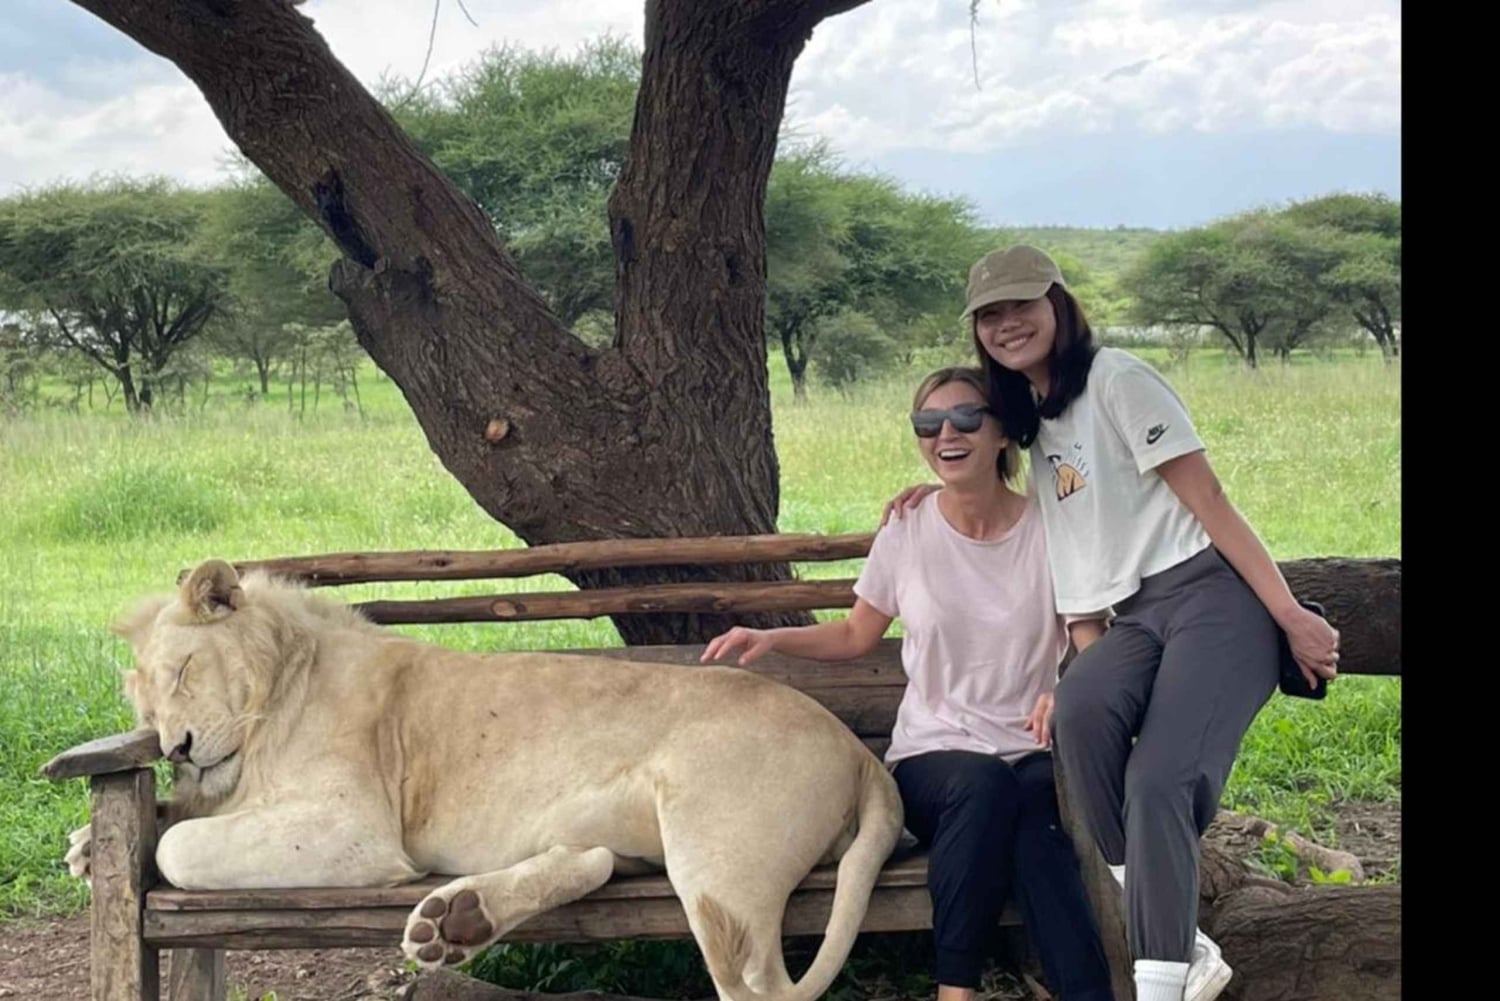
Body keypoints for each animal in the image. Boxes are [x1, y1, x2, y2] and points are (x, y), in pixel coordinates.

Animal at [65, 559, 903, 1001]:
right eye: (145, 701)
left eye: (184, 668)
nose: (175, 746)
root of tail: (861, 754)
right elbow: (174, 819)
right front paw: (88, 845)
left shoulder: (356, 830)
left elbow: (176, 848)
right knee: (593, 859)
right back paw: (458, 920)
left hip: (718, 867)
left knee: (756, 984)